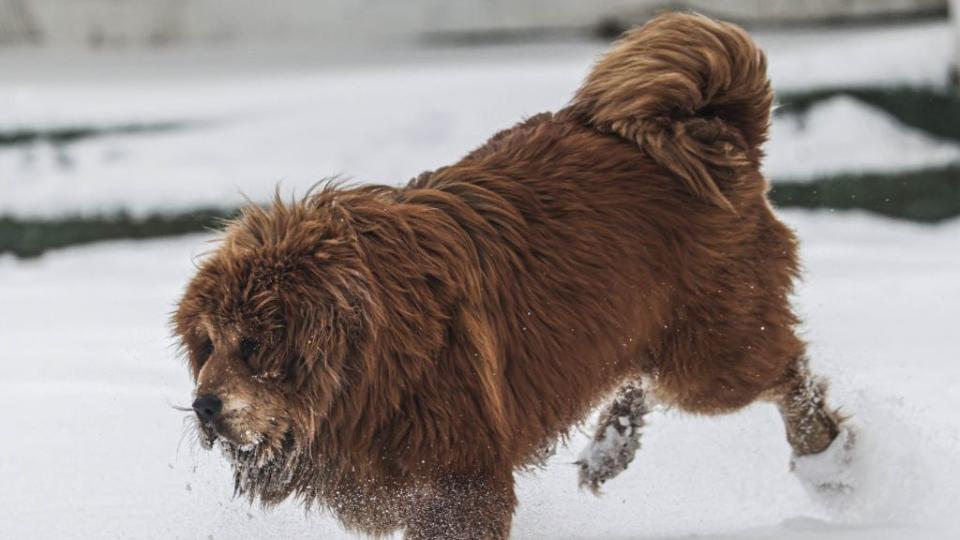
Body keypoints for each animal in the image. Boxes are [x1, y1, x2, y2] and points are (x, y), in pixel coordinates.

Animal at [172, 12, 840, 540]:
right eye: (208, 345)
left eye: (252, 345)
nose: (203, 406)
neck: (370, 351)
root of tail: (713, 133)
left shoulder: (458, 479)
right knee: (639, 375)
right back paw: (610, 448)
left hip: (711, 352)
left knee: (784, 373)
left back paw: (828, 458)